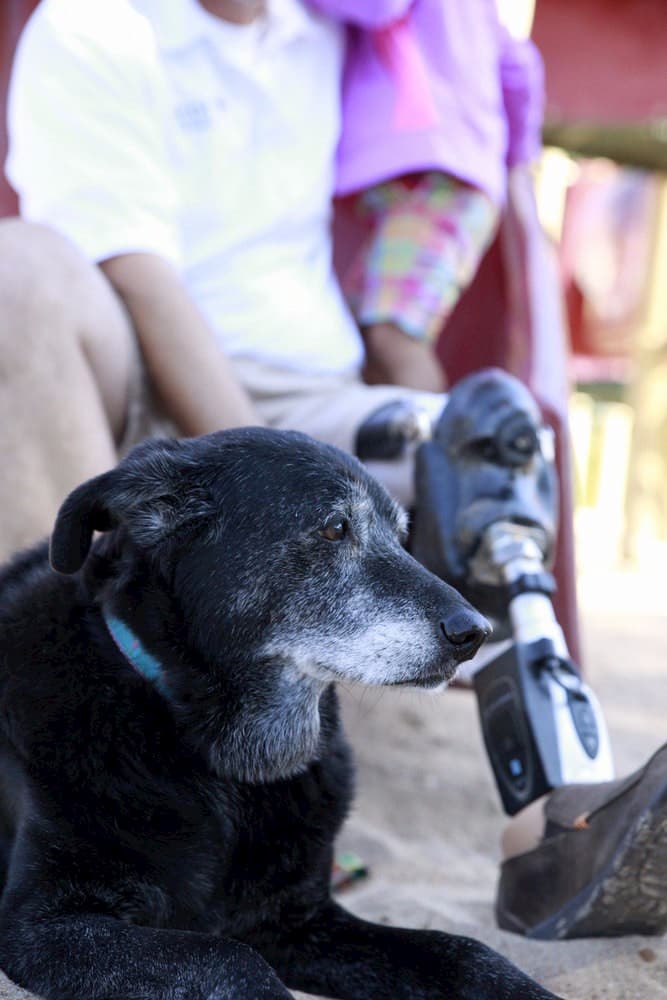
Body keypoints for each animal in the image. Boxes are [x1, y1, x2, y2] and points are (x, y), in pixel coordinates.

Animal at [0, 432, 560, 1000]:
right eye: (335, 527)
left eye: (403, 536)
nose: (475, 633)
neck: (227, 767)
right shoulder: (44, 925)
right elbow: (226, 957)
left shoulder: (298, 921)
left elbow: (463, 951)